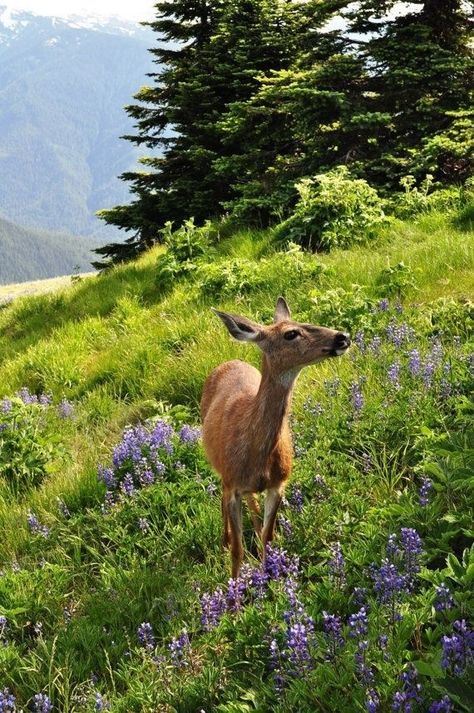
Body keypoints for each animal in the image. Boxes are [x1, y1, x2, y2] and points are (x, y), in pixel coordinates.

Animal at [198, 296, 350, 580]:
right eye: (291, 333)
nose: (342, 336)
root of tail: (229, 361)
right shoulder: (232, 484)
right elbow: (237, 550)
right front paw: (233, 589)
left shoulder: (279, 483)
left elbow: (268, 539)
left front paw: (268, 578)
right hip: (220, 469)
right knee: (222, 498)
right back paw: (223, 539)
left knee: (253, 506)